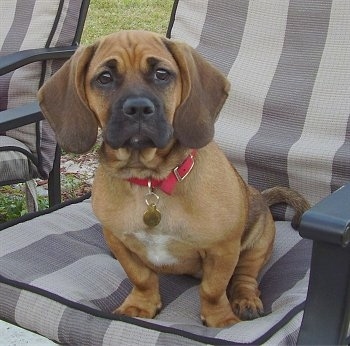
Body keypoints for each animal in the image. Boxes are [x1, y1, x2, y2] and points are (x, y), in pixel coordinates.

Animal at [37, 29, 308, 328]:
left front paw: (220, 319)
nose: (138, 108)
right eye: (104, 78)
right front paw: (141, 304)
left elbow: (213, 289)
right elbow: (142, 278)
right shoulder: (118, 241)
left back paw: (245, 299)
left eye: (162, 74)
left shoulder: (223, 249)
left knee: (245, 276)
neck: (150, 181)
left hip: (259, 239)